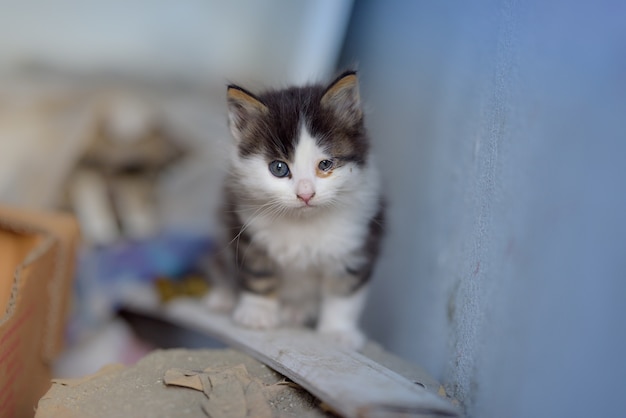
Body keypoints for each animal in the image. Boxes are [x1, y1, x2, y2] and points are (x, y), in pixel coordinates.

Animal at [205, 71, 382, 350]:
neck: (302, 223)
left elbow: (345, 292)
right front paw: (257, 313)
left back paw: (297, 311)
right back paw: (223, 297)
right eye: (279, 168)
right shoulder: (245, 227)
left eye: (325, 164)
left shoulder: (359, 241)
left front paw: (338, 332)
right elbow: (257, 271)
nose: (305, 194)